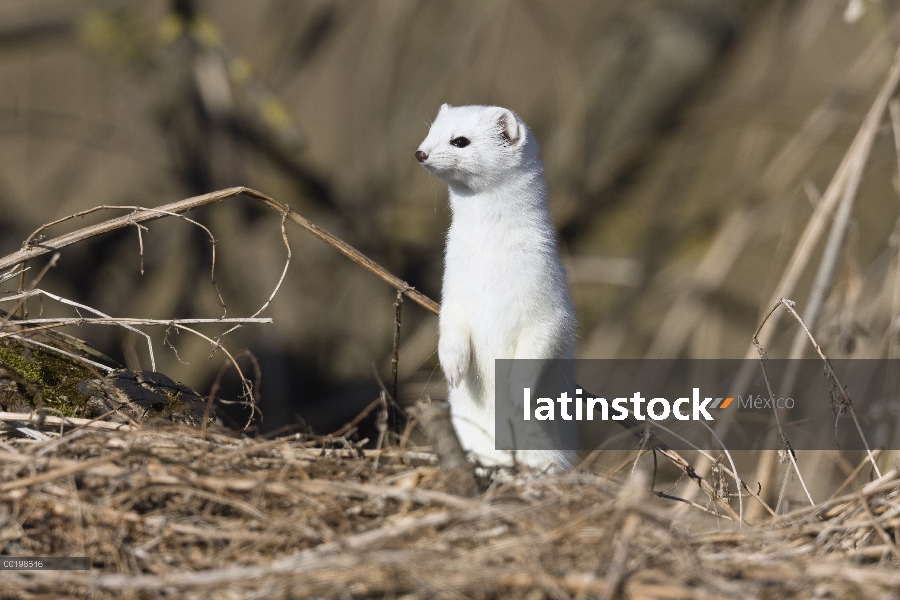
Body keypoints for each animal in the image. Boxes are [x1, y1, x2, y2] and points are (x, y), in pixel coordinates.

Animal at [416, 104, 576, 468]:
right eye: (429, 132)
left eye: (460, 140)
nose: (420, 153)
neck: (488, 257)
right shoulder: (453, 287)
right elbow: (450, 326)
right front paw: (453, 367)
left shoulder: (548, 296)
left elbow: (545, 339)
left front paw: (518, 391)